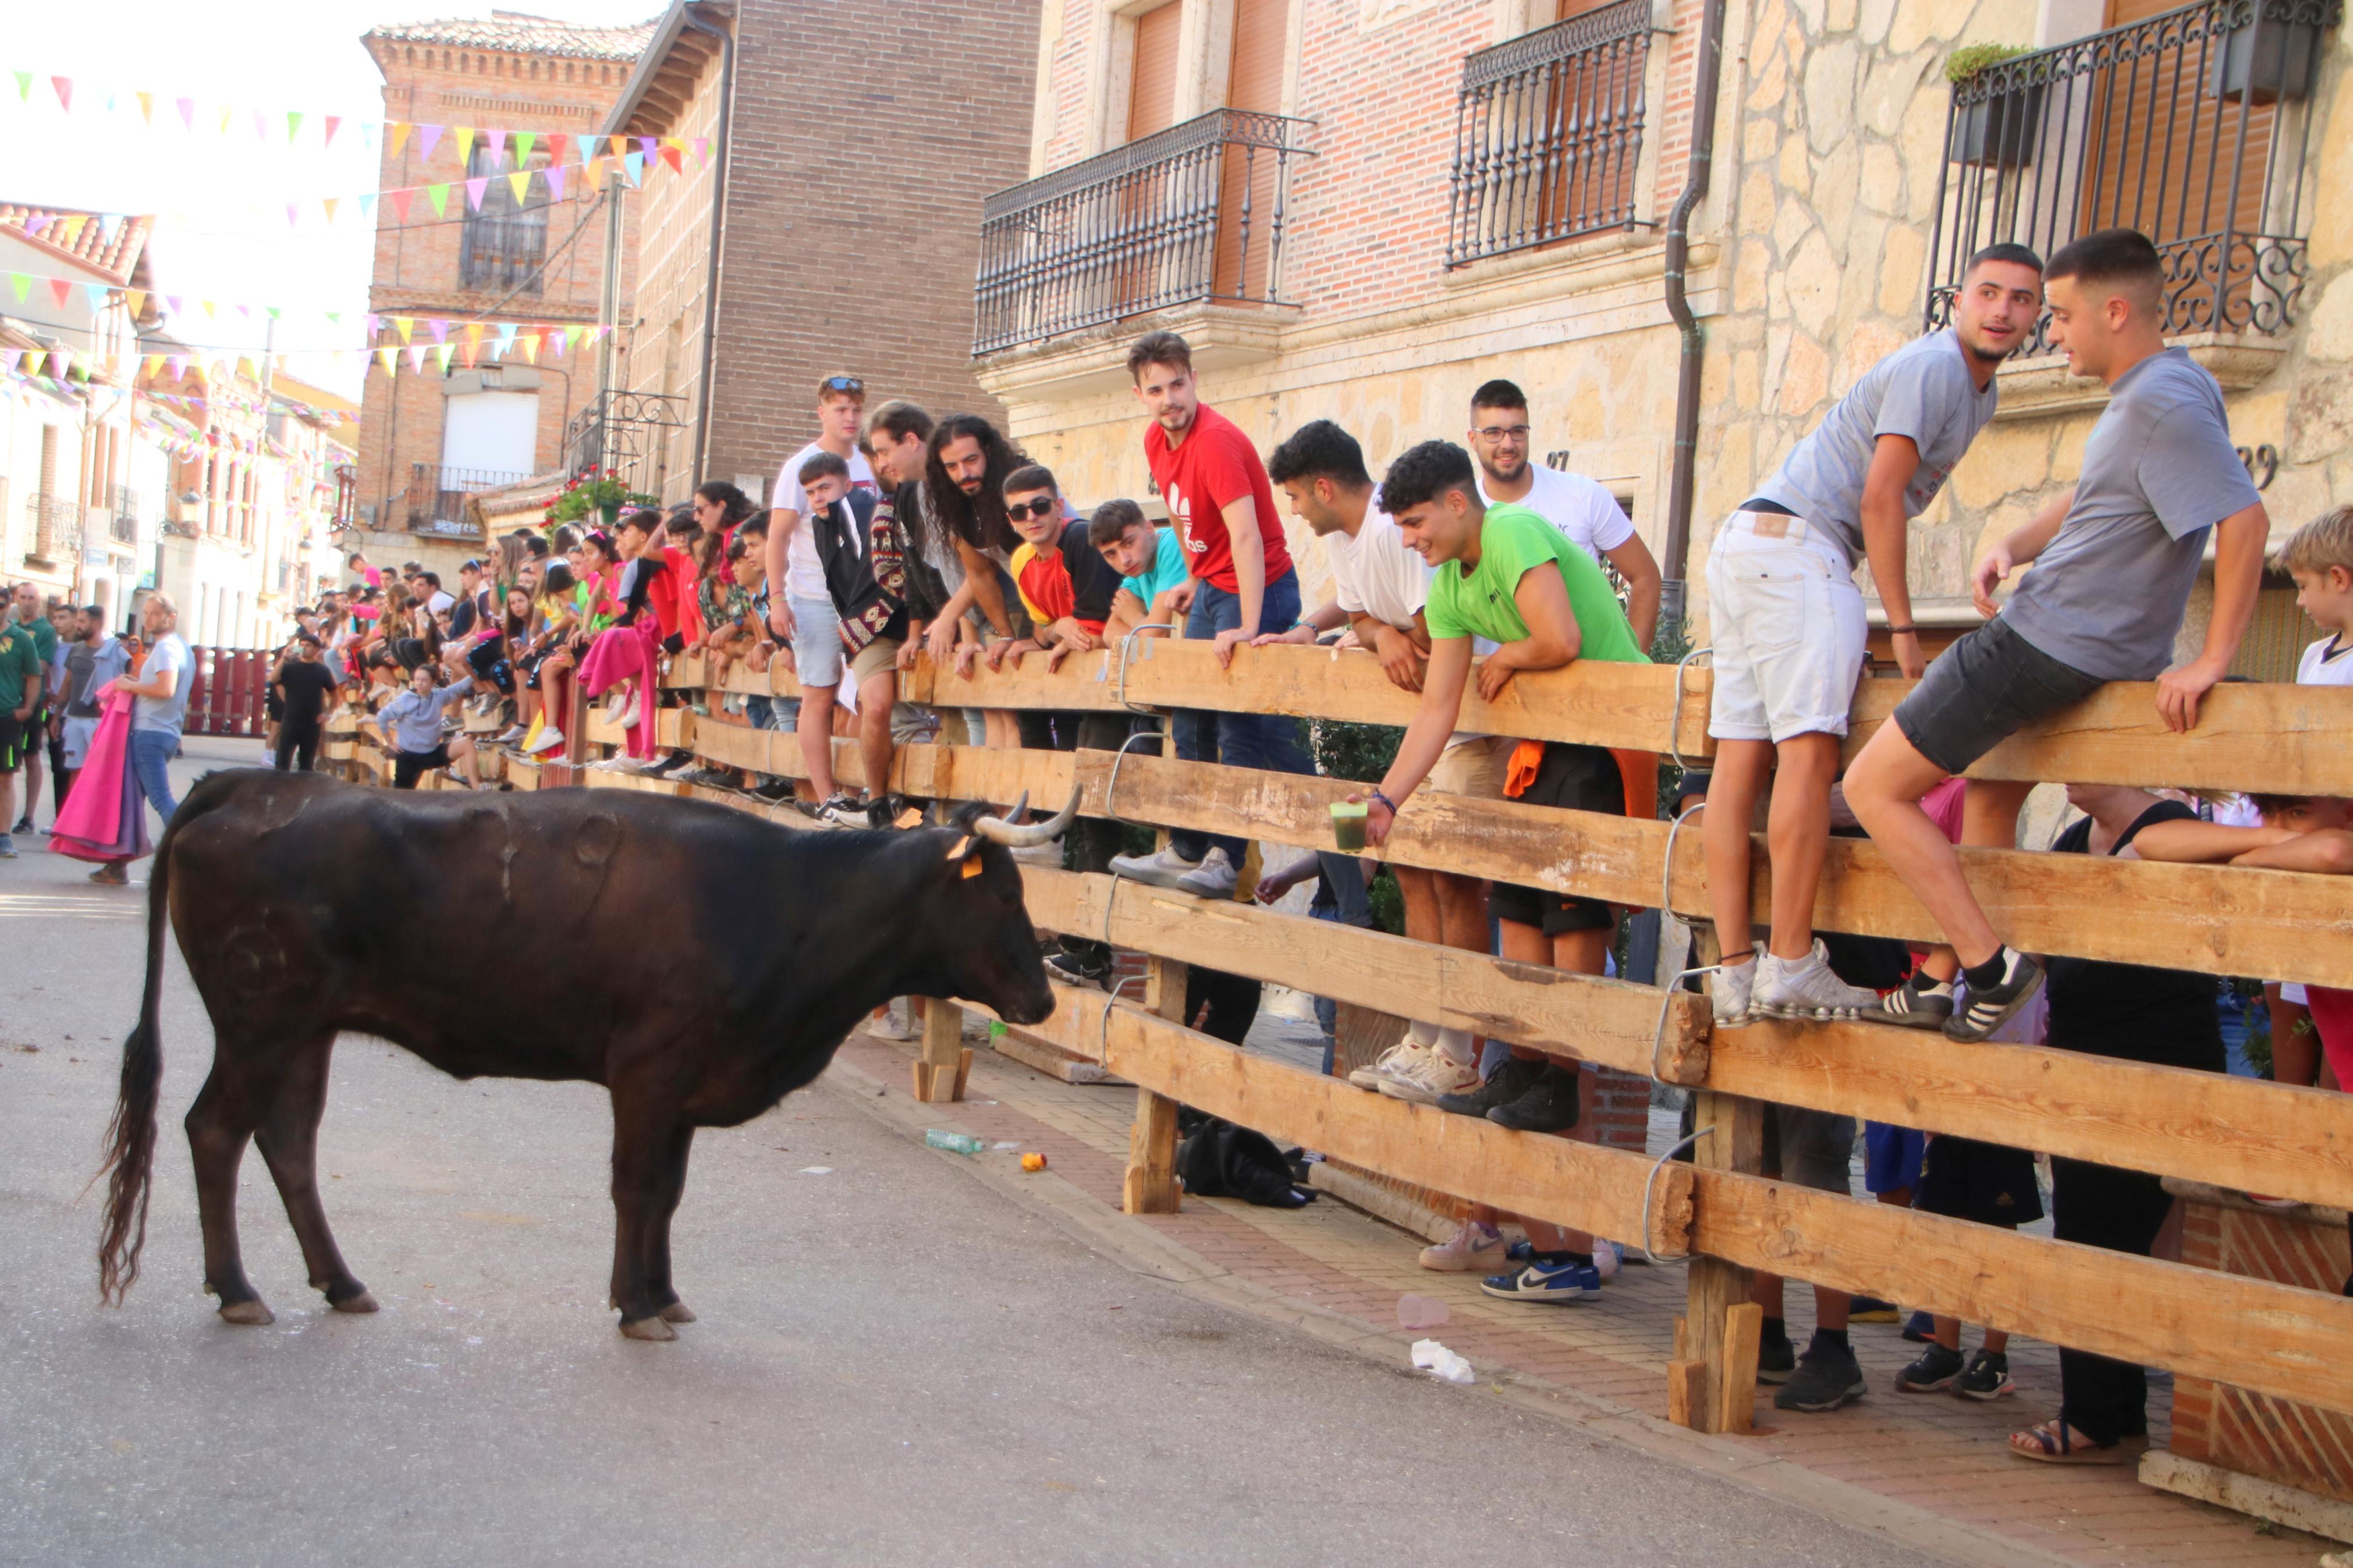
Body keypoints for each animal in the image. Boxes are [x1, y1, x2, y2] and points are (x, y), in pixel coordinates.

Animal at [98, 766, 1068, 1345]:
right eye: (1003, 894)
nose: (1045, 1001)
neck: (786, 902)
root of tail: (256, 784)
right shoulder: (649, 1069)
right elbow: (636, 1185)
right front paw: (635, 1303)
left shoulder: (683, 1084)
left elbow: (669, 1191)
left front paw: (663, 1291)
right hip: (260, 1022)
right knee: (215, 1130)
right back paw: (235, 1287)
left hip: (305, 1031)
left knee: (288, 1142)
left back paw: (339, 1282)